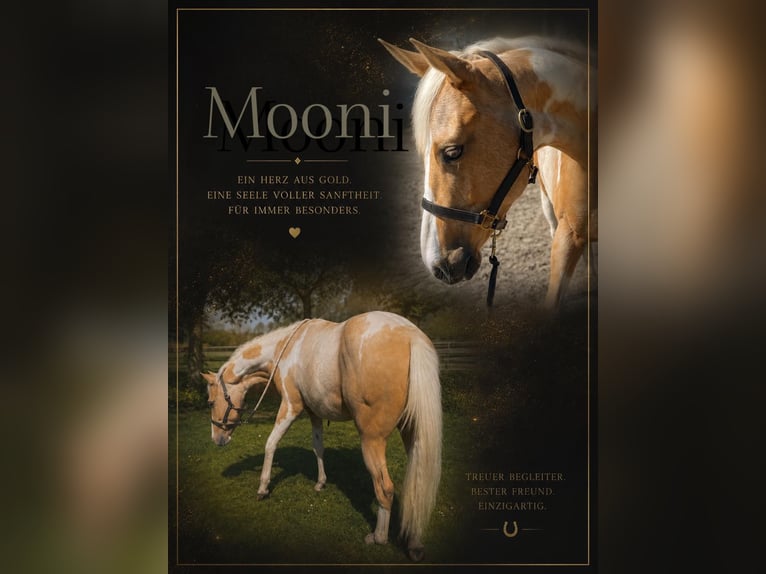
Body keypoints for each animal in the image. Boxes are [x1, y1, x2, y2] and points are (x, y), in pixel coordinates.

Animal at [202, 311, 442, 562]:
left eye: (210, 402)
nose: (217, 439)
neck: (284, 348)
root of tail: (409, 334)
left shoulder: (291, 406)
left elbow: (271, 443)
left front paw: (263, 488)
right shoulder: (314, 413)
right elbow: (318, 447)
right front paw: (320, 482)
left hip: (372, 440)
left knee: (385, 487)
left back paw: (378, 537)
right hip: (413, 433)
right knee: (418, 483)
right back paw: (414, 543)